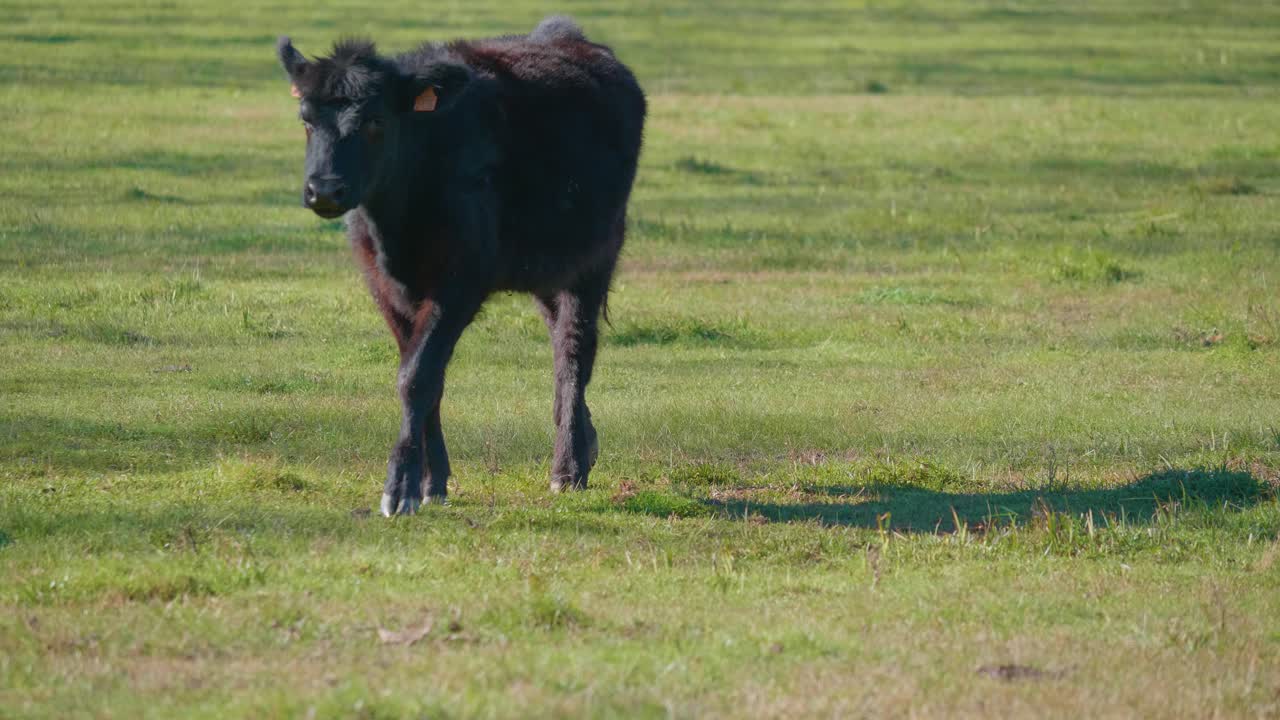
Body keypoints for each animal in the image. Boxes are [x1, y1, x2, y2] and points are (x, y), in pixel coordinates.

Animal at [276, 16, 646, 516]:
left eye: (375, 121)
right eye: (306, 120)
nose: (325, 190)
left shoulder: (460, 282)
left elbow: (416, 377)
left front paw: (401, 487)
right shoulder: (385, 287)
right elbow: (424, 377)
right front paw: (433, 481)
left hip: (594, 260)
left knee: (574, 352)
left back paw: (568, 469)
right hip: (548, 269)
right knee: (558, 343)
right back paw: (585, 443)